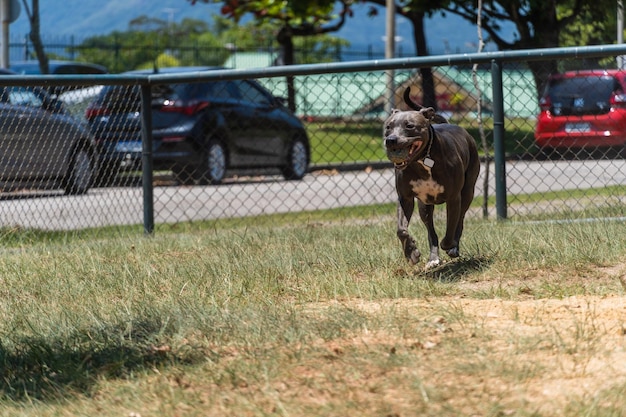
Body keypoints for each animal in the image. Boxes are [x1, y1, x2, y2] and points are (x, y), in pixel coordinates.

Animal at [380, 89, 478, 268]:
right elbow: (401, 230)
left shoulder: (454, 198)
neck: (422, 161)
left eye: (409, 126)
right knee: (431, 230)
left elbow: (450, 228)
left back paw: (454, 247)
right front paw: (411, 253)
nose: (390, 140)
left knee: (460, 221)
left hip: (467, 193)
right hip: (424, 206)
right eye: (388, 127)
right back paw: (433, 258)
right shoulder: (405, 198)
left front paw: (449, 245)